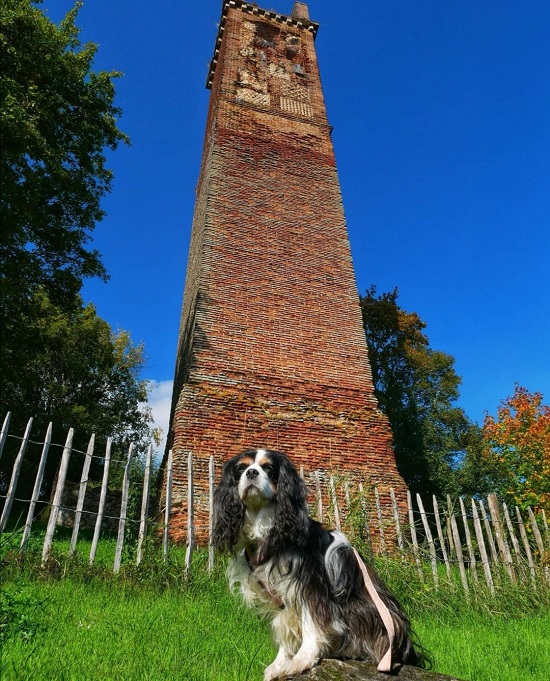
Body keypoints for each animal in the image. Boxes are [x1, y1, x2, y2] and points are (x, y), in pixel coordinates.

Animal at [213, 448, 430, 676]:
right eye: (241, 469)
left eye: (269, 469)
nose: (252, 473)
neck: (270, 534)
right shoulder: (276, 594)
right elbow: (283, 629)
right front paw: (280, 663)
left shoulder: (311, 586)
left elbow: (312, 624)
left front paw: (301, 659)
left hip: (364, 608)